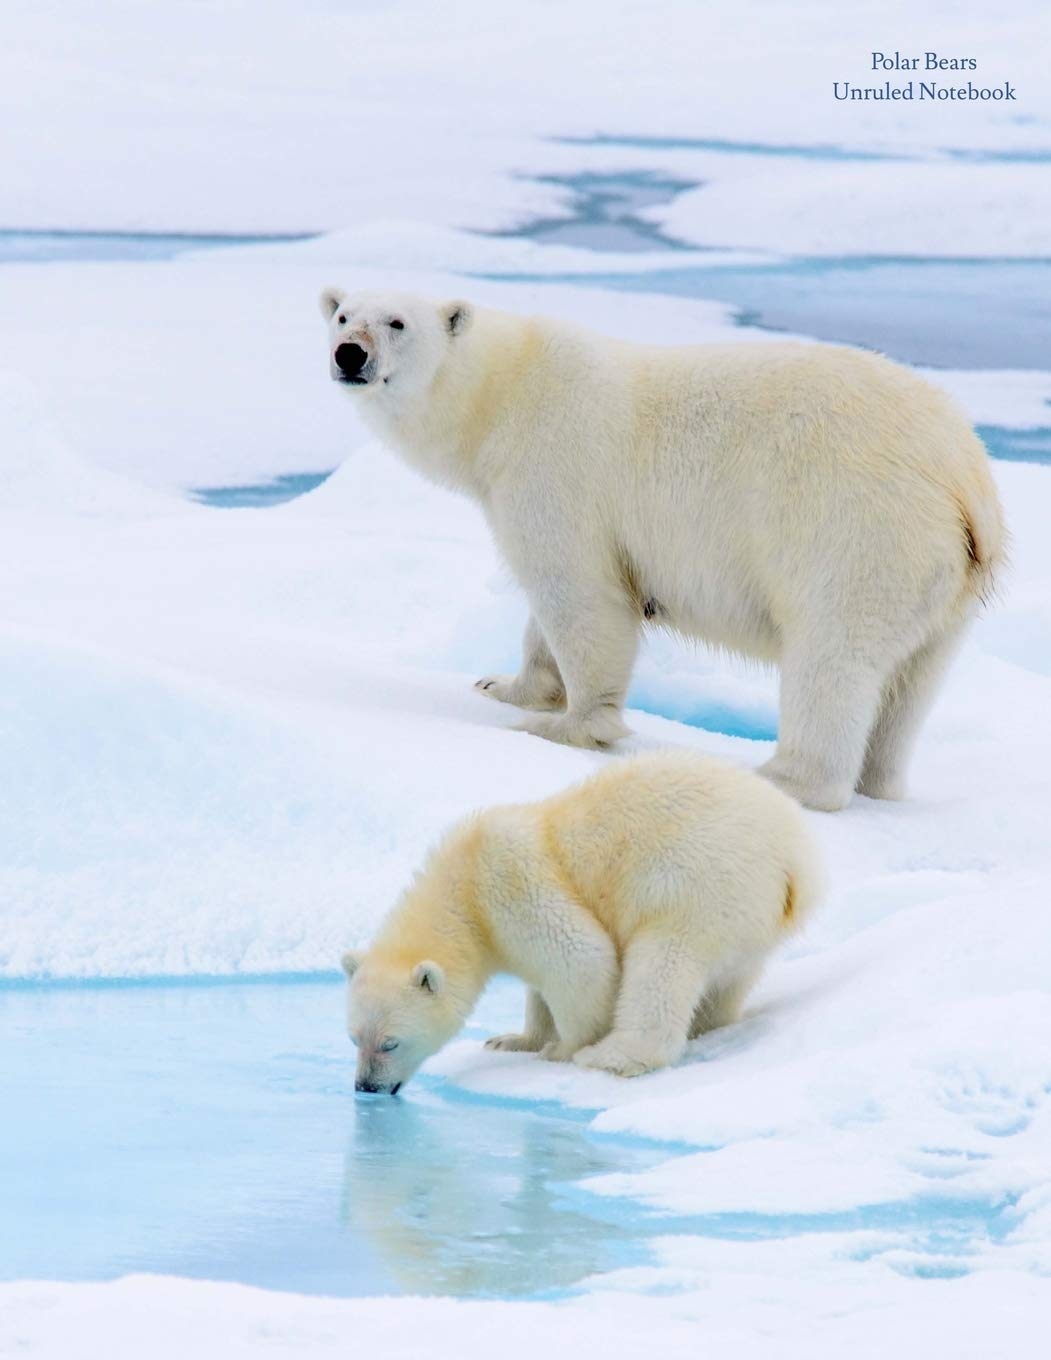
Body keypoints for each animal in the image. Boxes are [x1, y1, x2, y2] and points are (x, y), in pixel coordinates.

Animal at [319, 287, 1005, 811]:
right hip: (942, 585)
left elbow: (580, 594)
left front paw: (564, 725)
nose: (348, 354)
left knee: (833, 658)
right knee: (910, 685)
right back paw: (879, 782)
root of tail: (964, 478)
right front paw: (503, 686)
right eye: (343, 314)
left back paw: (782, 778)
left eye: (397, 322)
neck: (504, 392)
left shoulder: (555, 467)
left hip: (858, 532)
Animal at [340, 750, 822, 1089]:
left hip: (694, 883)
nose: (366, 1087)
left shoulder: (511, 883)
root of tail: (795, 861)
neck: (464, 883)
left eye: (390, 1043)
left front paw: (562, 1049)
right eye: (353, 1038)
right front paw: (514, 1040)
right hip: (747, 918)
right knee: (729, 981)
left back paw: (613, 1056)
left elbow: (582, 959)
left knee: (662, 965)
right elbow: (540, 986)